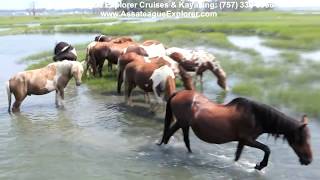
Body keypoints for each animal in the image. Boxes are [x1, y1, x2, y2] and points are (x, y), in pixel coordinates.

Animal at [159, 90, 314, 170]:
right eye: (301, 139)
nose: (309, 160)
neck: (256, 117)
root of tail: (178, 93)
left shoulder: (242, 141)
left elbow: (237, 156)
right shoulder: (248, 139)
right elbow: (267, 149)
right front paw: (260, 165)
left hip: (184, 124)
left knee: (181, 138)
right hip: (182, 122)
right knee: (170, 134)